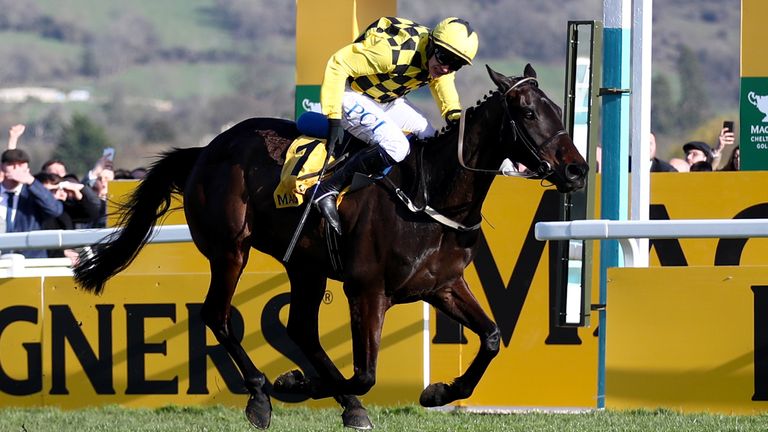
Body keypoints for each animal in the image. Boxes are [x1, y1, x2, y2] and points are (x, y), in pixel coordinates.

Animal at [73, 65, 588, 432]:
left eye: (558, 111)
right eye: (527, 113)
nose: (578, 170)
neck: (428, 196)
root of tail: (205, 151)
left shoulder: (441, 285)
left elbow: (492, 337)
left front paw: (438, 392)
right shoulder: (367, 289)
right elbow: (365, 373)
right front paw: (294, 383)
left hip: (305, 265)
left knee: (300, 328)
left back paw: (340, 404)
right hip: (230, 250)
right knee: (218, 315)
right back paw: (261, 395)